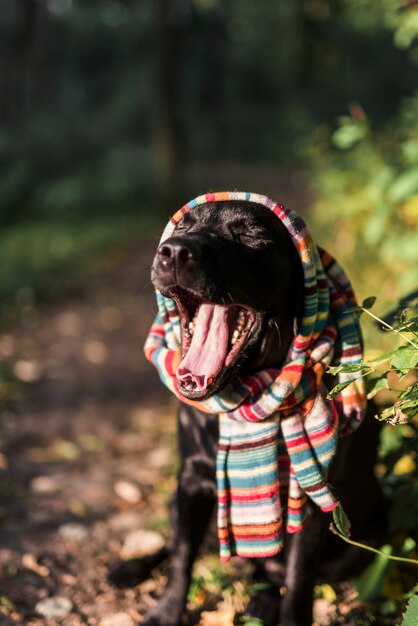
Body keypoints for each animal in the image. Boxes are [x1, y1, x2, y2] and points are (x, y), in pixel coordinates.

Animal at [110, 201, 386, 624]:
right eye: (182, 226)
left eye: (250, 234)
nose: (174, 251)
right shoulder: (191, 481)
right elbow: (182, 557)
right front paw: (166, 611)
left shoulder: (313, 501)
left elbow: (299, 580)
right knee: (176, 544)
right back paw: (131, 568)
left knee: (272, 570)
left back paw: (261, 601)